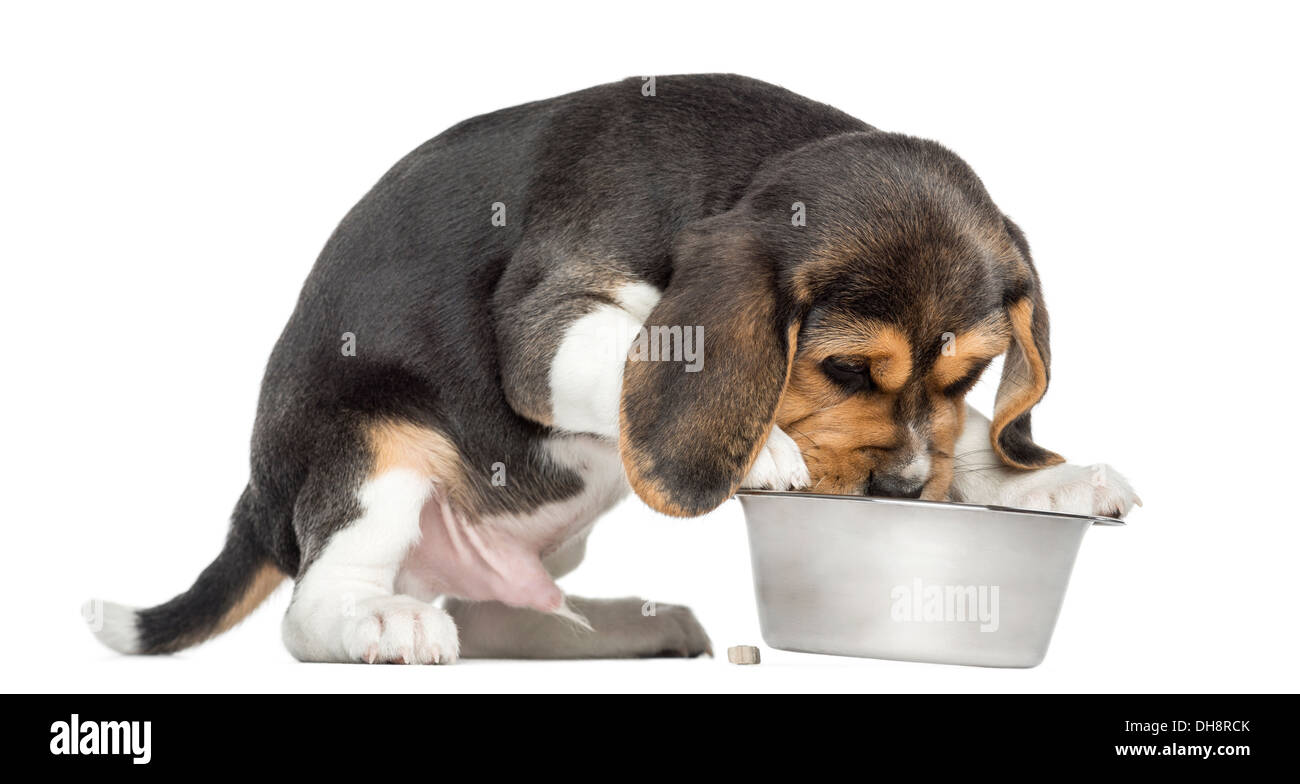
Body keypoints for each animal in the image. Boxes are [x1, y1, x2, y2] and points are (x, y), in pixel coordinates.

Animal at [86, 73, 1138, 665]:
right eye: (844, 371)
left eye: (967, 377)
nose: (905, 490)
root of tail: (259, 499)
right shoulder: (543, 326)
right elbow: (627, 349)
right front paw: (761, 451)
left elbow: (976, 441)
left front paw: (1044, 477)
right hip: (373, 439)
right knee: (312, 610)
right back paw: (378, 625)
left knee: (497, 612)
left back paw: (626, 629)